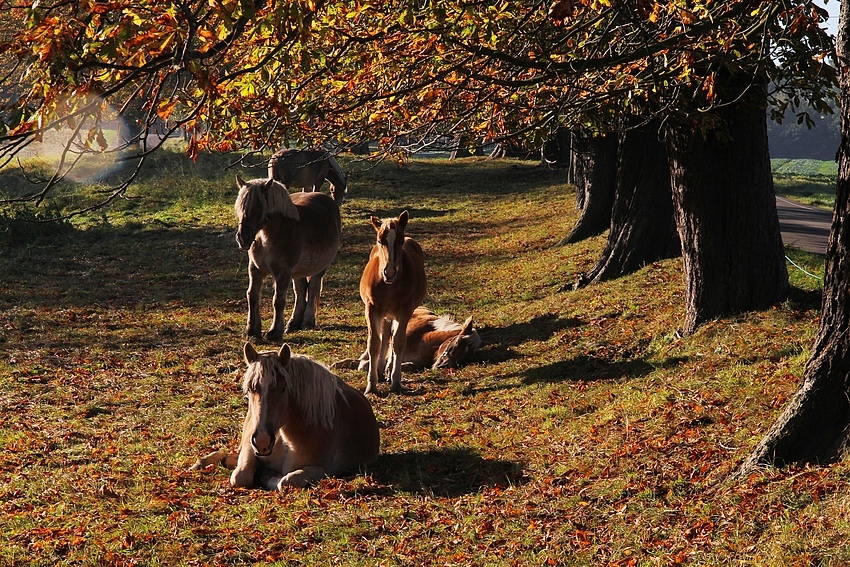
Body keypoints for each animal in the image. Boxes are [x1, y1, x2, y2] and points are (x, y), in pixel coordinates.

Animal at [225, 344, 380, 490]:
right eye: (250, 389)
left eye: (283, 389)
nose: (262, 441)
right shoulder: (249, 448)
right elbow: (240, 476)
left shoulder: (322, 469)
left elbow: (286, 481)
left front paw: (267, 475)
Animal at [235, 175, 342, 342]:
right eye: (240, 204)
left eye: (258, 204)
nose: (242, 237)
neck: (269, 235)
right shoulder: (255, 269)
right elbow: (252, 296)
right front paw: (252, 330)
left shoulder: (283, 272)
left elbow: (278, 300)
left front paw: (274, 332)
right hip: (298, 271)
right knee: (300, 290)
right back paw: (293, 323)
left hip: (319, 268)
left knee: (313, 288)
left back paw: (307, 321)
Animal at [358, 210, 428, 394]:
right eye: (379, 240)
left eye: (400, 240)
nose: (389, 272)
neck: (388, 286)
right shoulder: (372, 310)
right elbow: (374, 343)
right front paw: (371, 384)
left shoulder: (404, 311)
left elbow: (398, 343)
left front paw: (395, 381)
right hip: (384, 313)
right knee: (385, 334)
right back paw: (381, 370)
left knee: (392, 336)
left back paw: (388, 370)